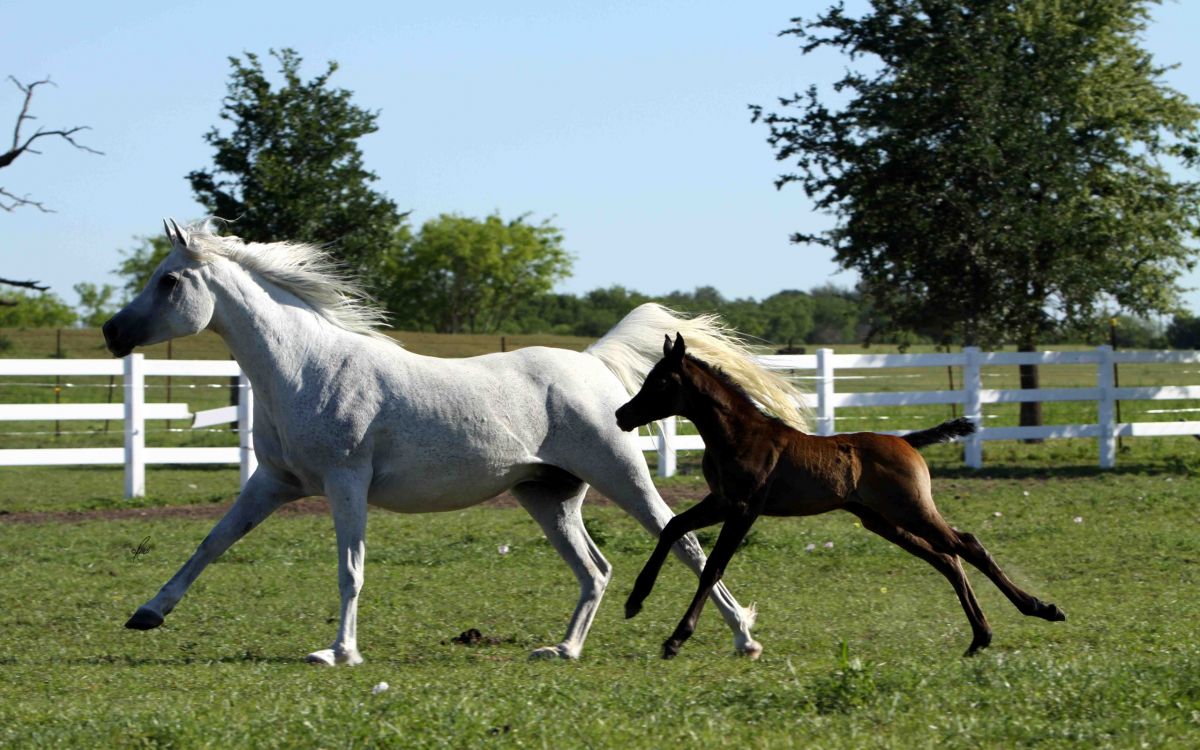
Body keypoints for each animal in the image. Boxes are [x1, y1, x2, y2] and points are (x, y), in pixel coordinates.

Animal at [101, 219, 801, 666]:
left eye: (169, 281)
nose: (111, 333)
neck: (304, 368)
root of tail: (593, 363)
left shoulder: (345, 483)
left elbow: (350, 568)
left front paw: (339, 652)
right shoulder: (275, 482)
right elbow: (212, 543)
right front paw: (147, 613)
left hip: (622, 478)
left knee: (684, 544)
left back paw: (744, 639)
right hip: (547, 497)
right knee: (596, 570)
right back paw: (563, 650)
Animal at [615, 333, 1067, 659]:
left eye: (659, 381)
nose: (622, 414)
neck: (740, 434)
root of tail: (907, 442)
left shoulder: (744, 508)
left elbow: (712, 568)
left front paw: (676, 638)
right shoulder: (721, 500)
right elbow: (673, 527)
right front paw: (635, 600)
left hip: (911, 510)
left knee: (968, 545)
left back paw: (1041, 609)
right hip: (884, 520)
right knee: (947, 559)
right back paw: (980, 637)